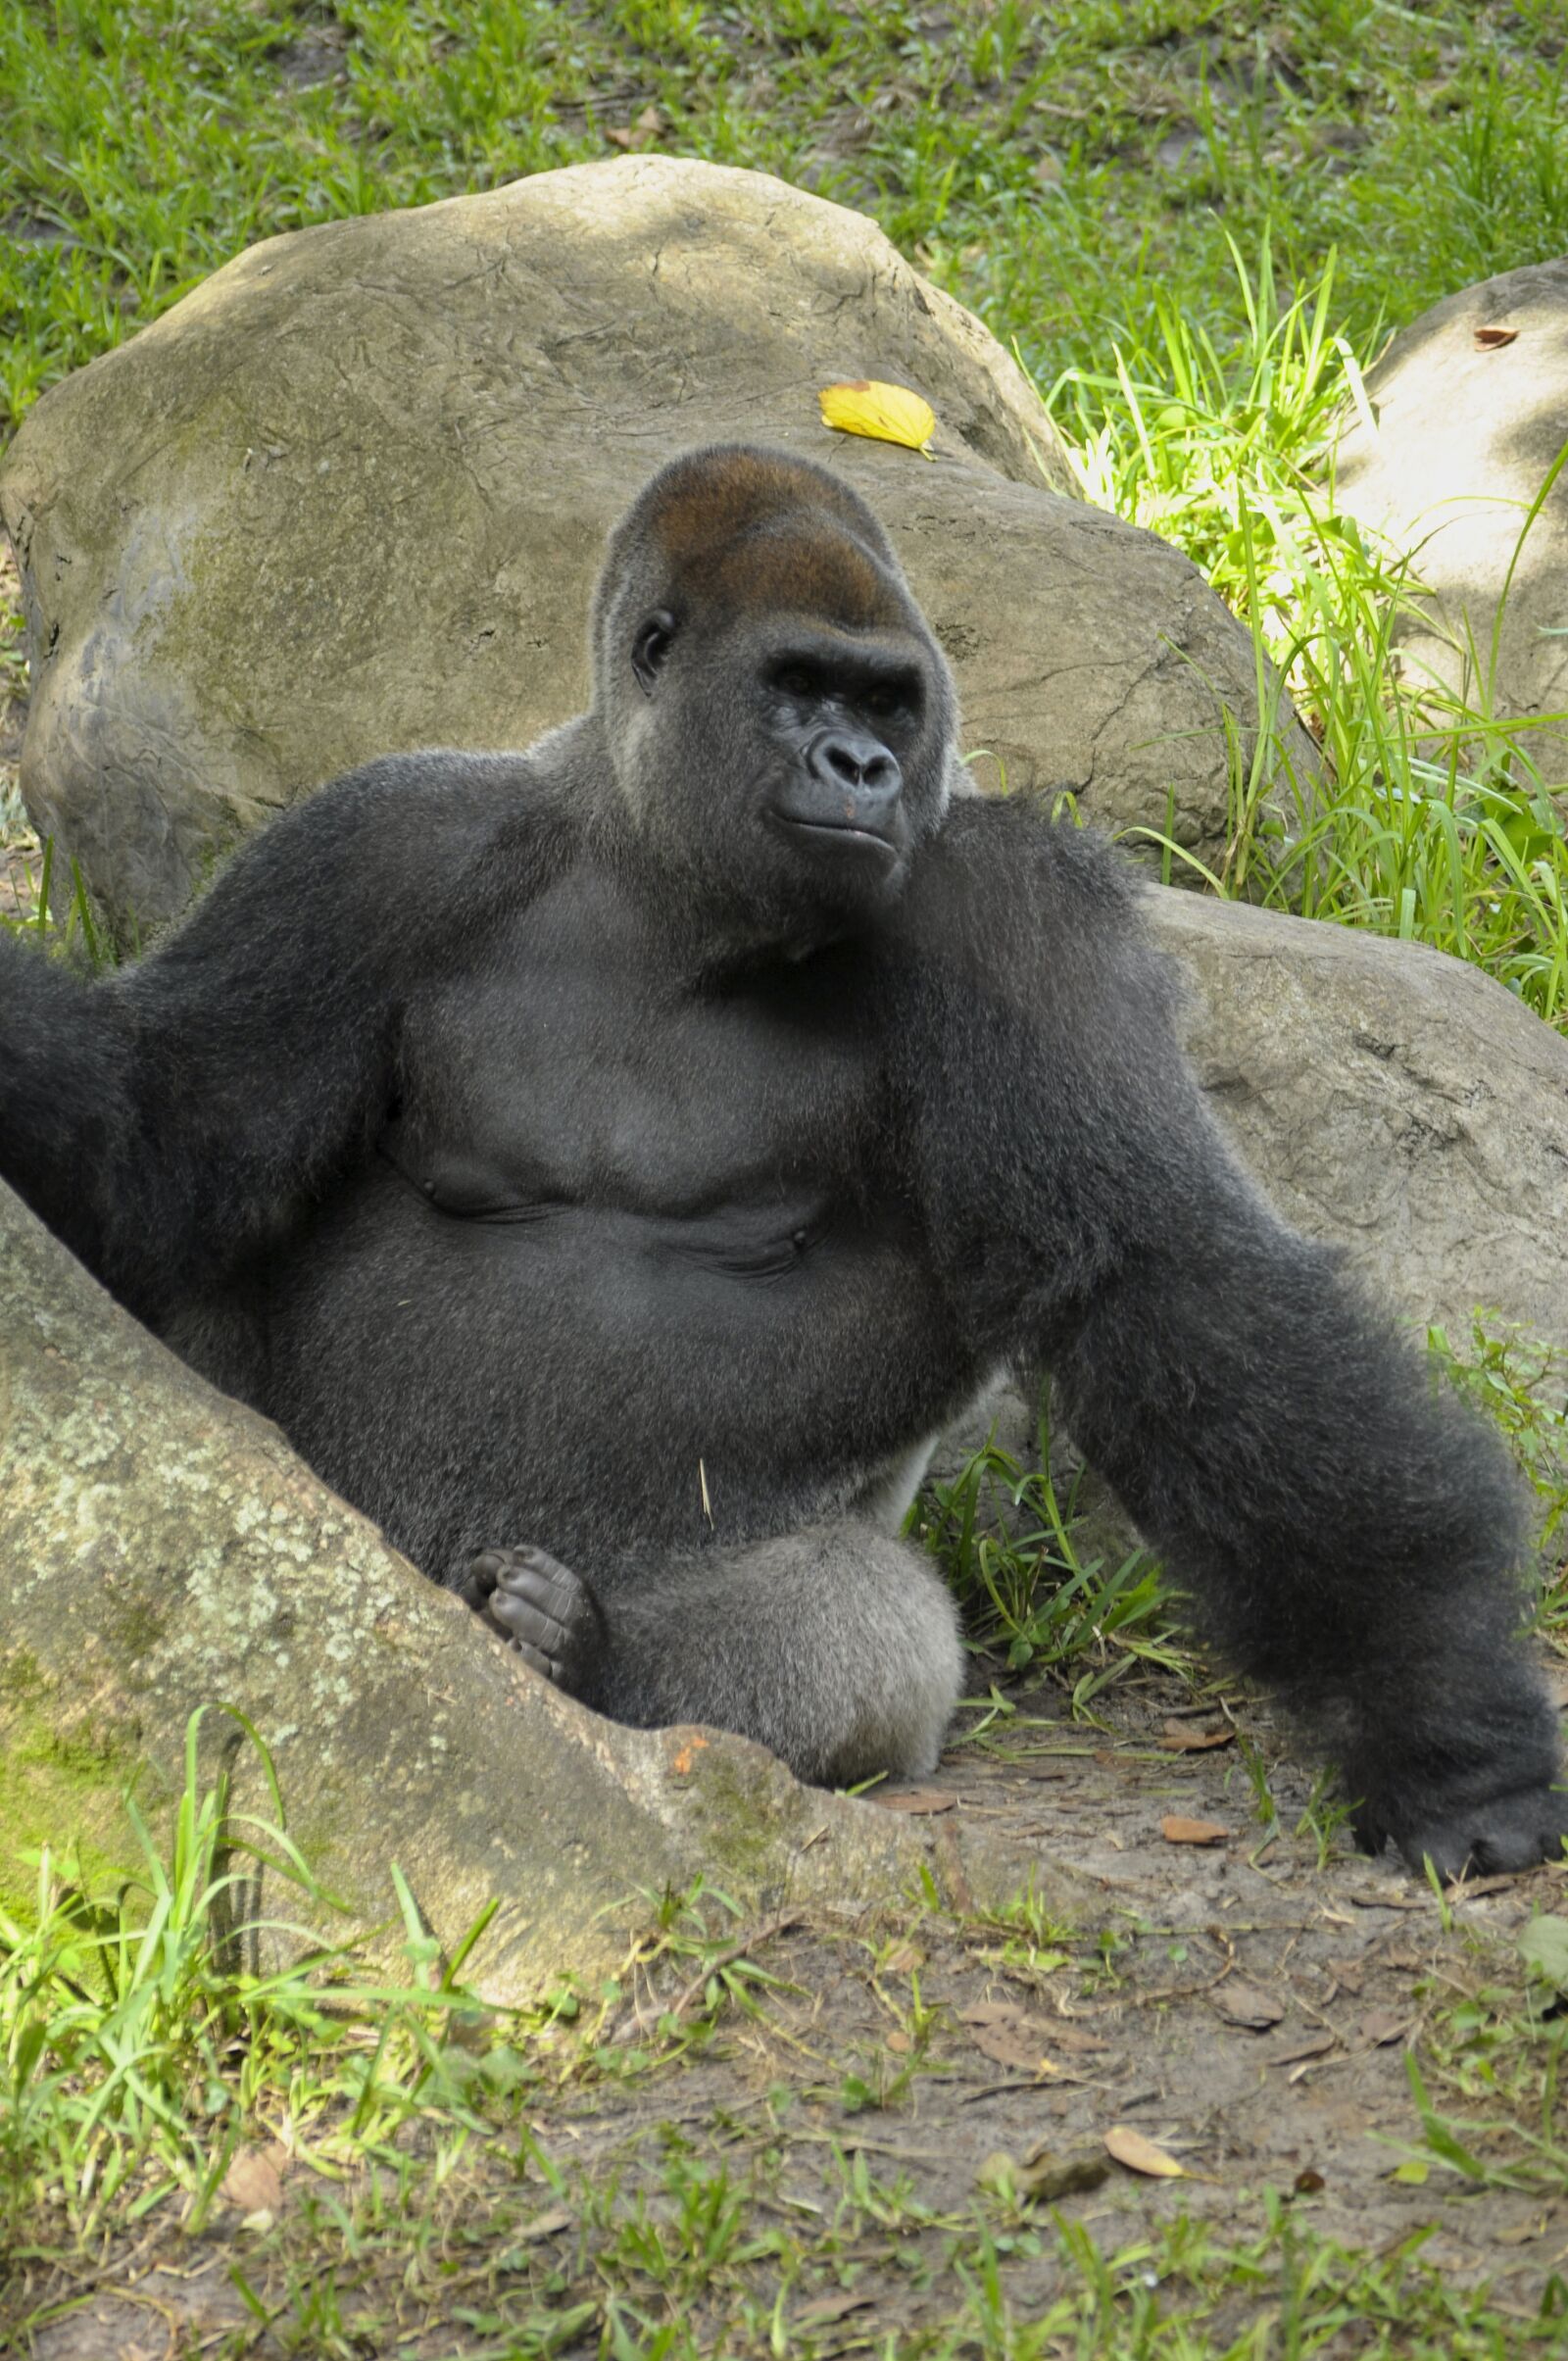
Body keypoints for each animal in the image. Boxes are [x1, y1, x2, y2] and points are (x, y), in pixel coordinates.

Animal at [1, 442, 1563, 1879]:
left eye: (888, 703)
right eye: (800, 687)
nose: (861, 767)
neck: (664, 877)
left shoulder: (1010, 908)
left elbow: (1157, 1273)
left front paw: (1447, 1725)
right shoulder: (378, 846)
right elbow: (177, 1121)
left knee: (867, 1627)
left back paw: (580, 1652)